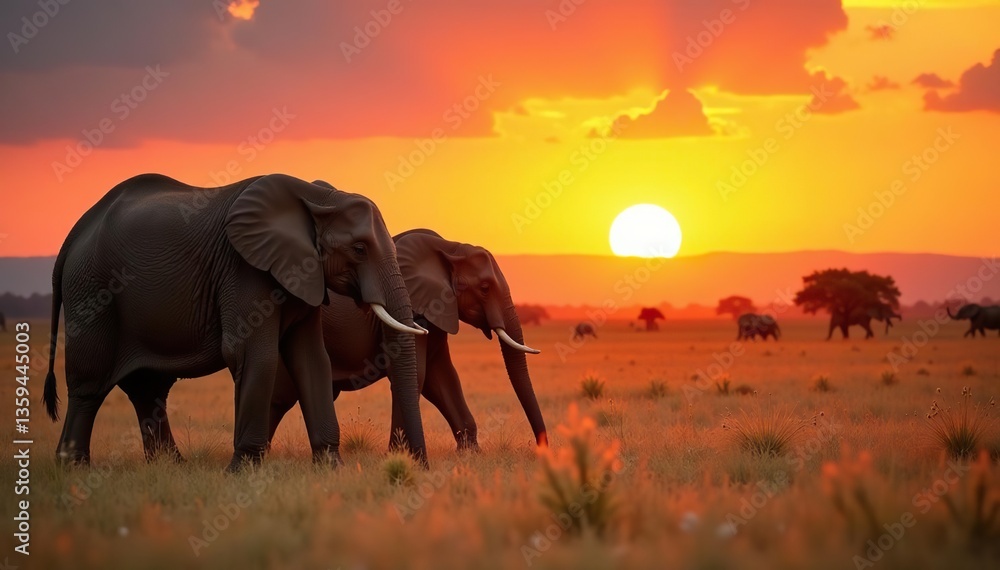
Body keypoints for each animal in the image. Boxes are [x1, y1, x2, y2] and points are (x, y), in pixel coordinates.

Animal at [42, 174, 428, 471]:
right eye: (359, 249)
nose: (417, 466)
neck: (316, 197)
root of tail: (75, 234)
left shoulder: (303, 274)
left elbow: (312, 359)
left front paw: (332, 469)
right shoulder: (243, 269)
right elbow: (253, 354)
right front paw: (242, 471)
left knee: (147, 388)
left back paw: (172, 468)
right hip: (92, 292)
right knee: (89, 385)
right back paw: (74, 469)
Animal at [264, 229, 548, 451]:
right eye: (485, 288)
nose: (540, 449)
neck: (449, 248)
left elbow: (442, 377)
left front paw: (470, 455)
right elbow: (417, 375)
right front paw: (401, 455)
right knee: (279, 395)